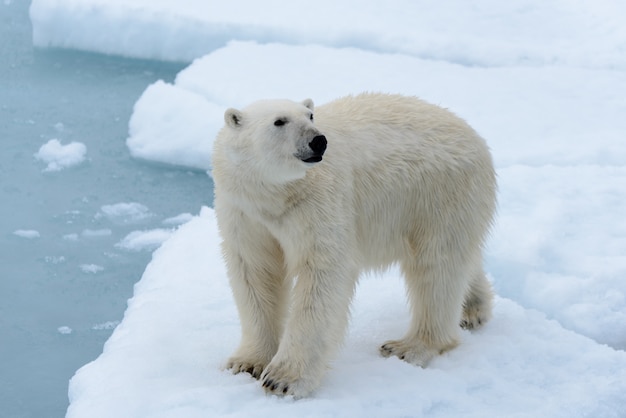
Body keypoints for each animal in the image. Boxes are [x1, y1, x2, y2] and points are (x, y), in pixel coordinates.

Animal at [212, 92, 494, 398]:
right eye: (279, 121)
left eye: (310, 116)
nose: (318, 141)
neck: (277, 195)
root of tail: (475, 136)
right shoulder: (245, 212)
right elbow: (256, 273)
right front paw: (246, 362)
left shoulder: (318, 202)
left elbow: (321, 273)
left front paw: (283, 379)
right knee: (459, 260)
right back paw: (472, 309)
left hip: (439, 193)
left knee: (437, 268)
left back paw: (409, 346)